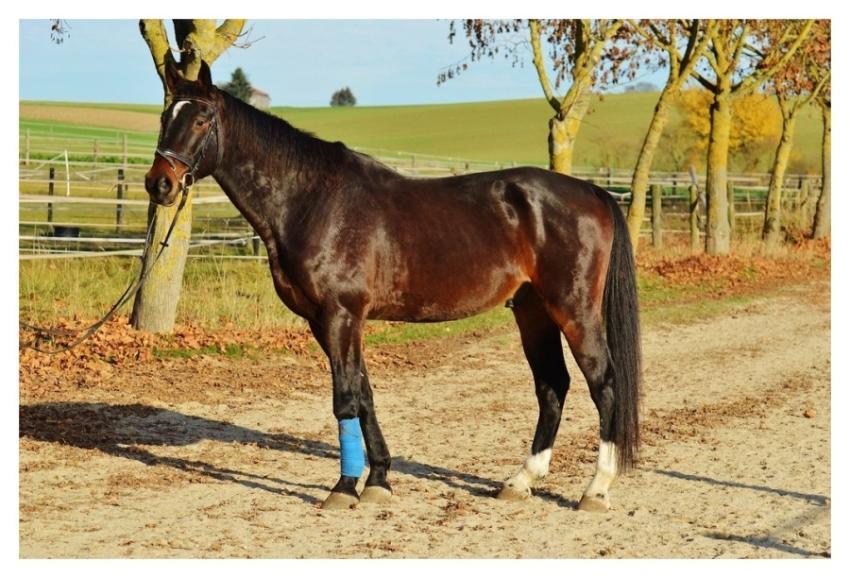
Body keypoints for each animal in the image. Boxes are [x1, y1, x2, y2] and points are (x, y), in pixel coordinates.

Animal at [144, 60, 641, 512]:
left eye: (202, 118)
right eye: (166, 116)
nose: (159, 184)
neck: (313, 201)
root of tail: (592, 192)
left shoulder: (341, 314)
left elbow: (345, 400)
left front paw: (344, 487)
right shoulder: (326, 322)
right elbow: (364, 396)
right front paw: (379, 479)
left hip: (573, 308)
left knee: (604, 384)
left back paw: (596, 489)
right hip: (533, 310)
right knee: (552, 385)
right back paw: (521, 481)